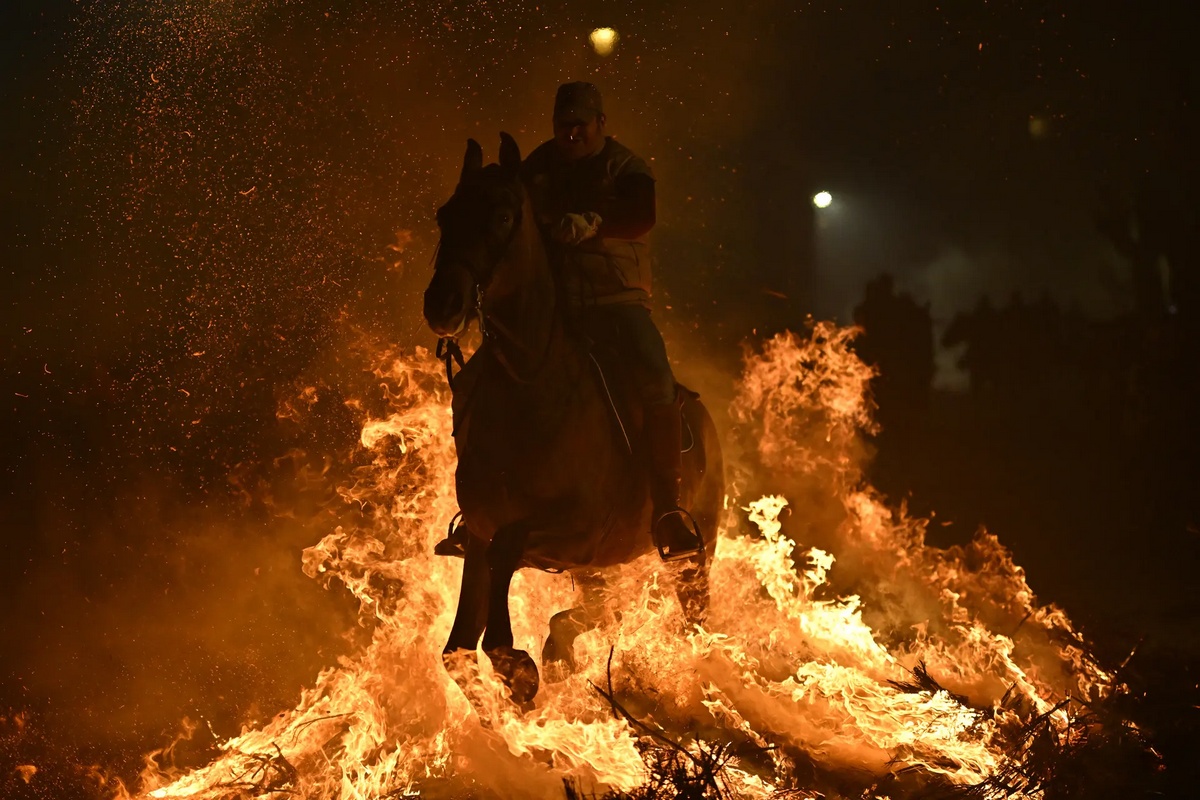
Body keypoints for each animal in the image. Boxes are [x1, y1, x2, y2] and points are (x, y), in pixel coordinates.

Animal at [422, 133, 720, 705]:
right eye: (445, 215)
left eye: (502, 214)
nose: (442, 304)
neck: (529, 387)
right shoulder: (481, 535)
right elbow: (455, 652)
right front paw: (514, 676)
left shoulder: (573, 530)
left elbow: (507, 561)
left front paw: (517, 666)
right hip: (599, 570)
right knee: (595, 612)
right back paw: (560, 648)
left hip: (694, 554)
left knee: (692, 612)